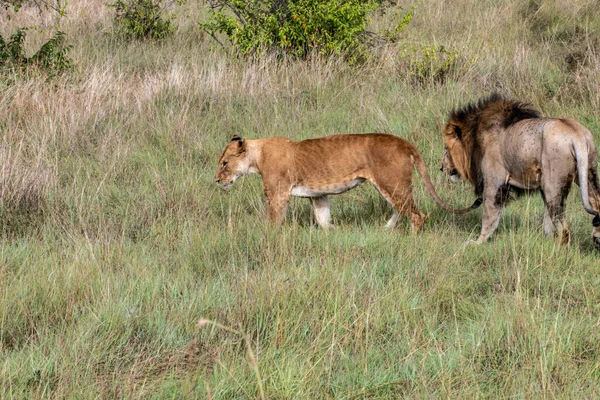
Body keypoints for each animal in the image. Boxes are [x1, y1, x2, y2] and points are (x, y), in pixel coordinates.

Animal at [213, 134, 480, 230]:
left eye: (224, 163)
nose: (216, 180)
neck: (257, 157)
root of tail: (404, 142)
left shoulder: (277, 194)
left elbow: (273, 222)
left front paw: (268, 240)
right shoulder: (318, 195)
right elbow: (323, 221)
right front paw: (334, 234)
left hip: (391, 182)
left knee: (417, 215)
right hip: (391, 186)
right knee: (400, 210)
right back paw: (385, 231)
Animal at [438, 94, 600, 250]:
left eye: (446, 149)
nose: (441, 167)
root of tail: (577, 135)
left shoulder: (494, 183)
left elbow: (489, 215)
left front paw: (478, 242)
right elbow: (547, 221)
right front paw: (547, 239)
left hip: (552, 185)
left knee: (564, 228)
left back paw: (559, 251)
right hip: (587, 174)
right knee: (595, 202)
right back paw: (596, 240)